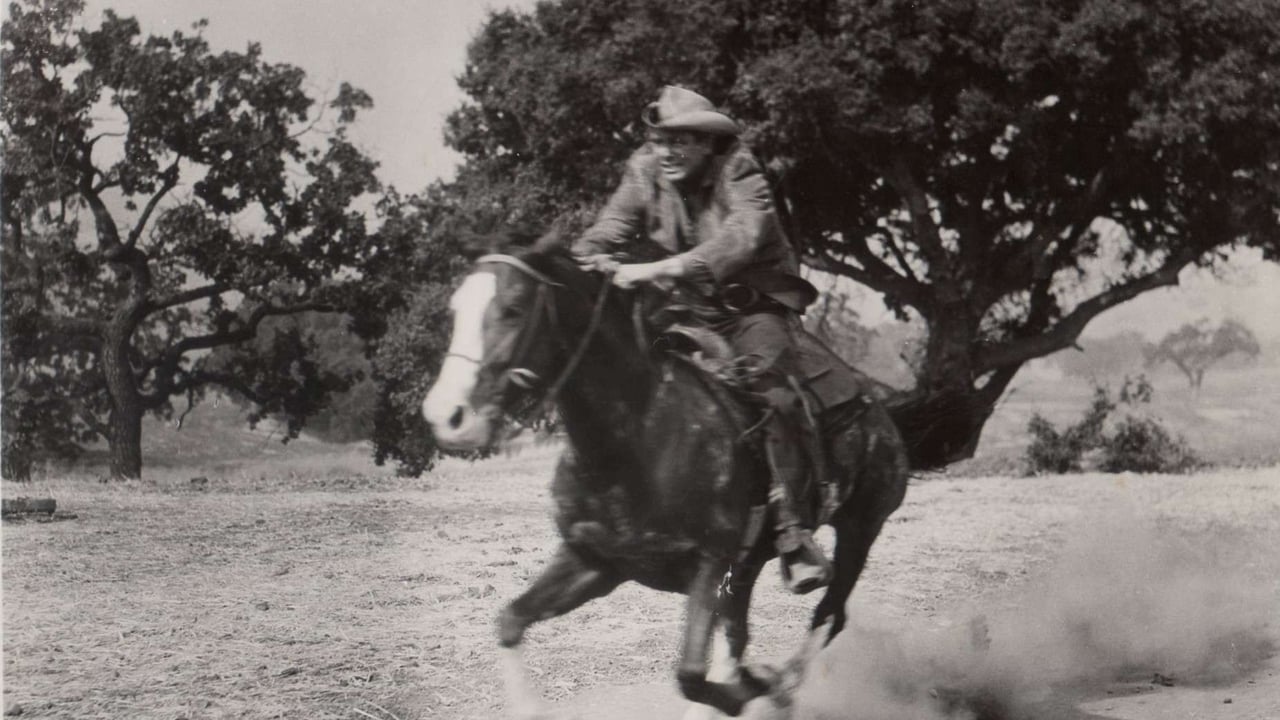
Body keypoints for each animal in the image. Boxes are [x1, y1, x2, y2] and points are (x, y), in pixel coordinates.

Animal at [424, 238, 906, 712]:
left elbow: (691, 675)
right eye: (455, 309)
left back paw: (783, 682)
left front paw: (756, 687)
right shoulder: (593, 561)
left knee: (829, 616)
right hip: (749, 566)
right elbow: (511, 621)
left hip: (859, 530)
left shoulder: (709, 564)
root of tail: (877, 407)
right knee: (743, 634)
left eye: (513, 308)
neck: (639, 437)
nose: (446, 416)